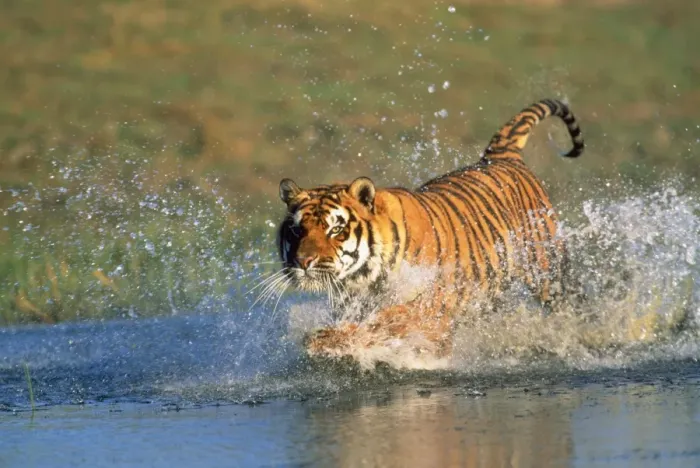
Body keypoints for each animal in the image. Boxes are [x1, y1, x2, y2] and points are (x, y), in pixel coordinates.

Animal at [275, 98, 584, 358]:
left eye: (335, 230)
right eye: (297, 230)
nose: (303, 262)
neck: (365, 278)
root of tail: (499, 156)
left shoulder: (432, 301)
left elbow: (388, 321)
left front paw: (329, 341)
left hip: (550, 273)